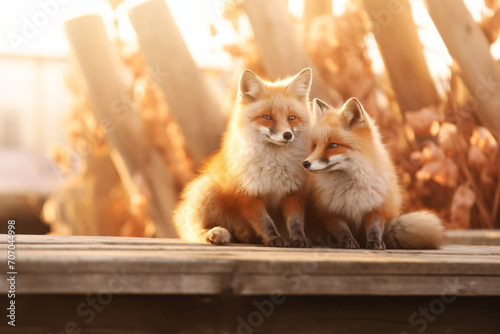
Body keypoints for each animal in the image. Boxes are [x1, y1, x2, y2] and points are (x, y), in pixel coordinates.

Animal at [172, 68, 312, 247]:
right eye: (267, 117)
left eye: (292, 117)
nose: (287, 135)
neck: (275, 165)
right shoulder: (247, 195)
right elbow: (265, 222)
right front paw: (274, 238)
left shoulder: (294, 193)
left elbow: (295, 221)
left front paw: (299, 238)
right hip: (207, 189)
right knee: (191, 232)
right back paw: (212, 234)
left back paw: (244, 234)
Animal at [302, 96, 444, 248]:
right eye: (315, 146)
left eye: (333, 145)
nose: (305, 163)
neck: (351, 188)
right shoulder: (331, 212)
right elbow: (342, 229)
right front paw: (348, 241)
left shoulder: (377, 207)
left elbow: (374, 228)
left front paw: (375, 242)